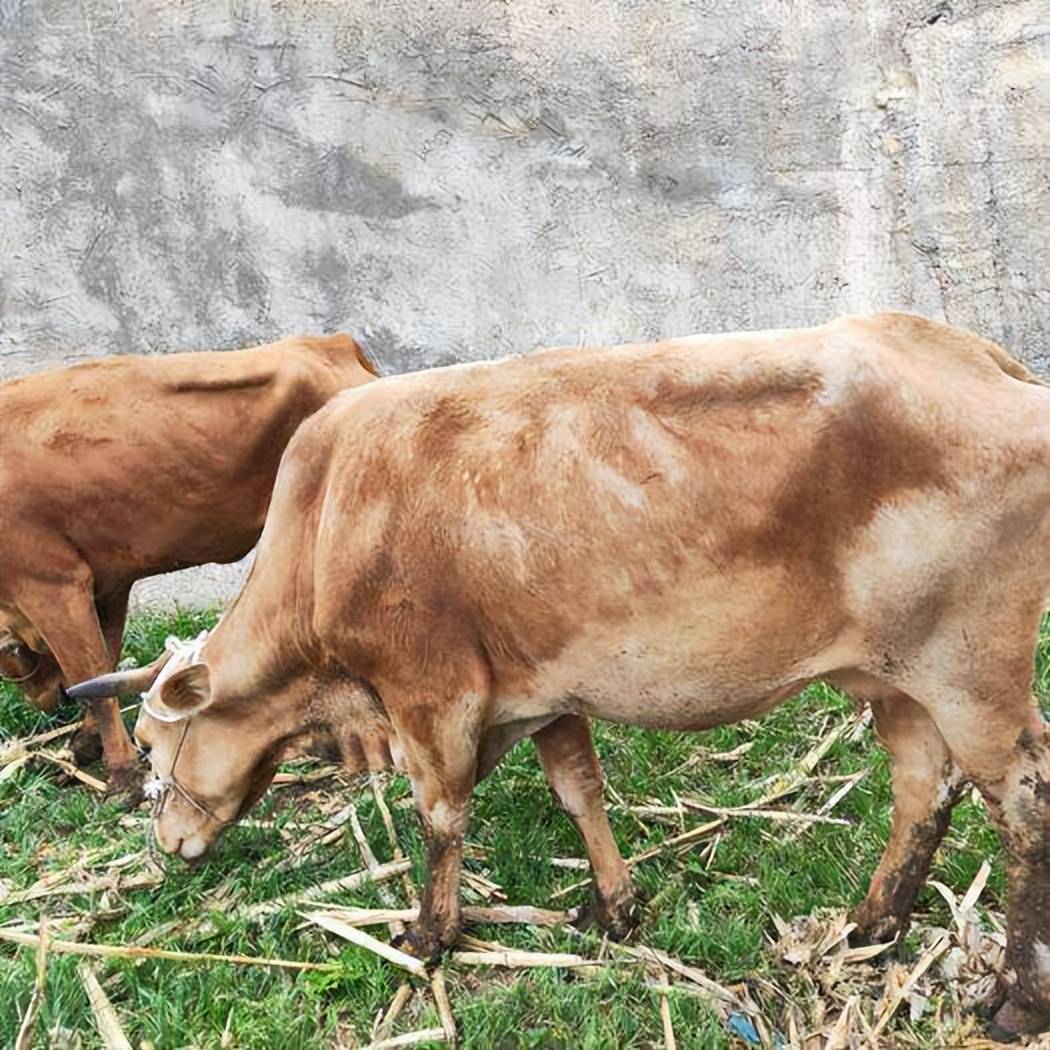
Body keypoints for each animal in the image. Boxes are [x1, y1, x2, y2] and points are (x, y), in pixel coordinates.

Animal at [0, 331, 377, 789]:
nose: (46, 701)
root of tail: (330, 343)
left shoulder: (53, 585)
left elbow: (89, 672)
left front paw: (122, 778)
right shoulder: (106, 582)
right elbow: (101, 670)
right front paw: (86, 747)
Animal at [71, 315, 1050, 1037]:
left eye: (155, 742)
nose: (167, 844)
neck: (326, 523)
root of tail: (975, 356)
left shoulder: (431, 695)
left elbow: (441, 817)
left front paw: (429, 933)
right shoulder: (542, 691)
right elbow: (579, 789)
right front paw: (614, 909)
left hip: (972, 671)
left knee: (1023, 802)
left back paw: (1014, 1001)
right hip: (895, 676)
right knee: (923, 786)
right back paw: (874, 924)